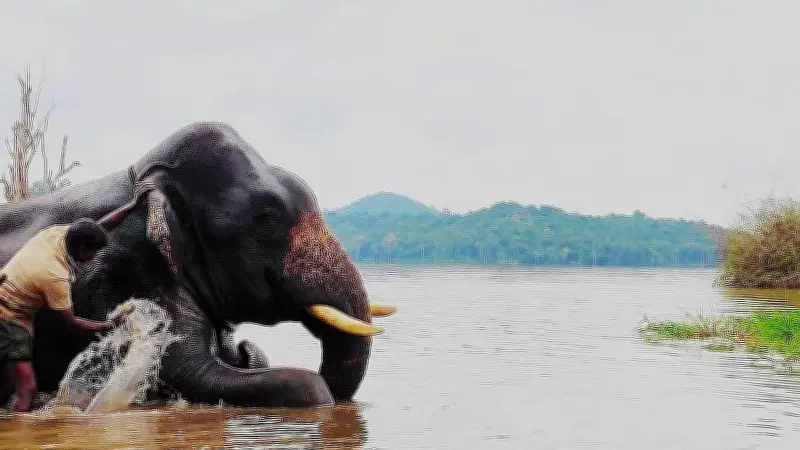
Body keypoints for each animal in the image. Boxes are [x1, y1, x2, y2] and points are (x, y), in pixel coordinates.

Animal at [0, 121, 396, 409]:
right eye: (267, 218)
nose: (241, 347)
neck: (140, 176)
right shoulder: (120, 270)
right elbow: (193, 372)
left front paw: (243, 351)